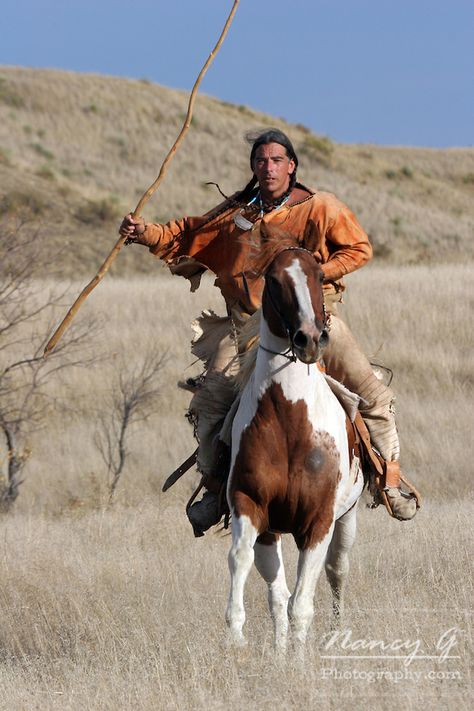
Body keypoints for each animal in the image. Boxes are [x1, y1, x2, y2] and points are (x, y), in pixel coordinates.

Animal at [226, 245, 362, 652]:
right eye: (273, 280)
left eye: (319, 275)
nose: (309, 339)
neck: (289, 420)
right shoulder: (251, 507)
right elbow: (242, 561)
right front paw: (236, 638)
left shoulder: (318, 522)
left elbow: (302, 605)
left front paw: (299, 662)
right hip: (272, 532)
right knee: (278, 594)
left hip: (347, 520)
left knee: (336, 572)